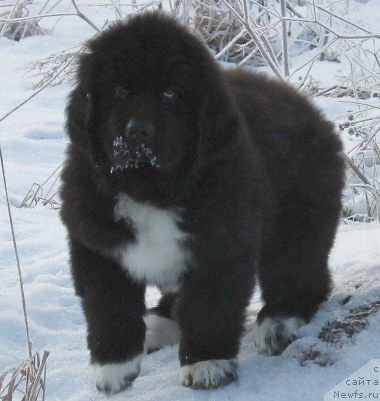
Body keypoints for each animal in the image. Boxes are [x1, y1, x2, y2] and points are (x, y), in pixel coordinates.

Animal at [60, 10, 344, 392]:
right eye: (118, 91)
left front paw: (206, 364)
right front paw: (113, 369)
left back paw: (278, 323)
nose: (138, 131)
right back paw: (156, 325)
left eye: (171, 93)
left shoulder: (221, 247)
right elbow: (108, 307)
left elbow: (208, 306)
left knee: (299, 272)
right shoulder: (98, 243)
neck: (151, 190)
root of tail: (311, 110)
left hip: (298, 218)